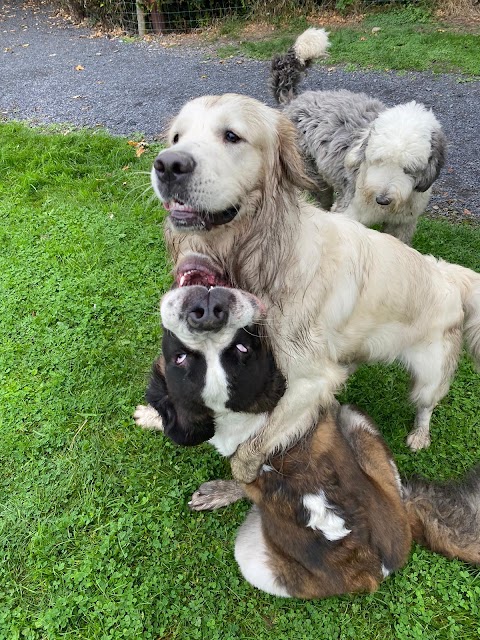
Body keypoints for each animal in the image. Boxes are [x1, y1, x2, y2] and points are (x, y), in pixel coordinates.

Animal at [134, 258, 480, 596]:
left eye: (242, 350)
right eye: (180, 358)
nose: (207, 313)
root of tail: (372, 569)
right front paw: (154, 417)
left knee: (424, 404)